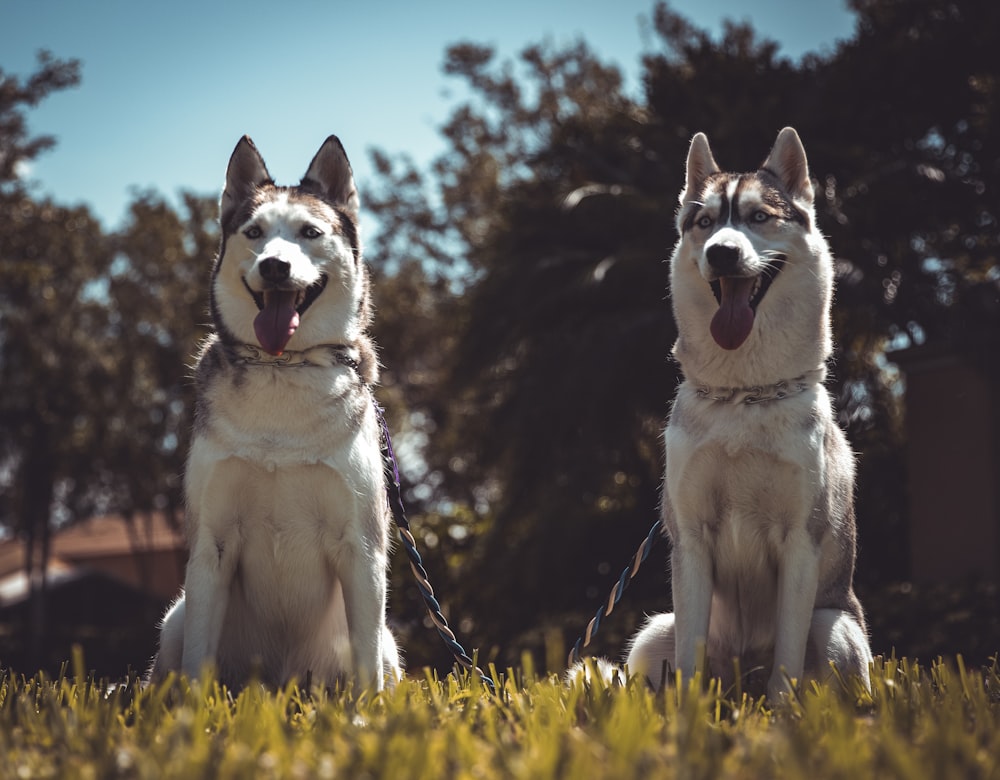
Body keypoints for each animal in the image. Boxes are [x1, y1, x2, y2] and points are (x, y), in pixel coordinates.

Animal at [150, 134, 400, 688]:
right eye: (254, 233)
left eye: (310, 232)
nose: (274, 266)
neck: (281, 368)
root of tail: (284, 682)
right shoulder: (211, 544)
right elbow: (198, 658)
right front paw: (192, 710)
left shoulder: (361, 546)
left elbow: (366, 665)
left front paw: (367, 711)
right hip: (173, 617)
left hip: (390, 647)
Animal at [628, 129, 872, 700]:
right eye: (704, 223)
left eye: (759, 217)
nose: (721, 253)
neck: (746, 394)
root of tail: (742, 681)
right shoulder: (691, 540)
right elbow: (689, 659)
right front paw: (689, 714)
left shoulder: (801, 541)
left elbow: (787, 657)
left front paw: (784, 714)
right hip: (653, 632)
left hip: (834, 627)